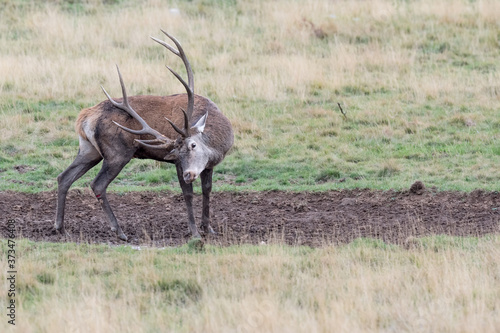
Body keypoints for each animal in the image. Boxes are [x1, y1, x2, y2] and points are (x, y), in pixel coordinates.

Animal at [54, 29, 234, 240]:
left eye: (193, 145)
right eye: (177, 154)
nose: (189, 174)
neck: (218, 144)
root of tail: (84, 118)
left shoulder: (208, 165)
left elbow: (207, 190)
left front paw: (209, 228)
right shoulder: (178, 165)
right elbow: (188, 194)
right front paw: (195, 232)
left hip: (89, 150)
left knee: (64, 177)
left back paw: (60, 227)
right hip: (117, 153)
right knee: (97, 184)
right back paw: (120, 231)